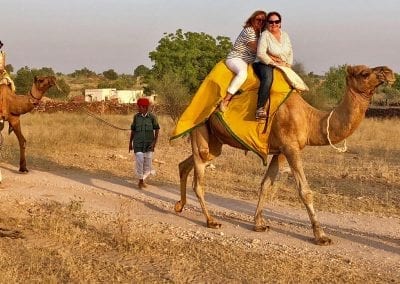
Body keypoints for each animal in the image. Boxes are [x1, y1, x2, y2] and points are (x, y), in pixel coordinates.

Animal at [173, 63, 396, 244]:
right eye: (364, 73)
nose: (389, 72)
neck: (311, 119)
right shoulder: (291, 147)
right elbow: (305, 191)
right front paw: (321, 236)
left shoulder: (279, 152)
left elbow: (266, 185)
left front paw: (259, 224)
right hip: (200, 130)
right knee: (199, 179)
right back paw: (211, 221)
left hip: (214, 143)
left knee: (187, 164)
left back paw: (180, 206)